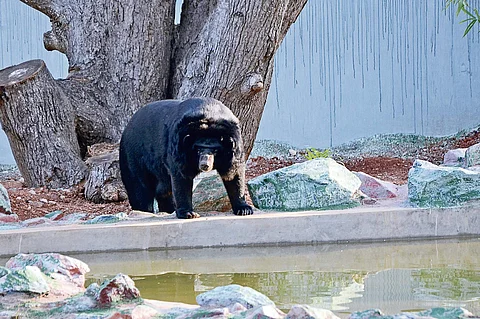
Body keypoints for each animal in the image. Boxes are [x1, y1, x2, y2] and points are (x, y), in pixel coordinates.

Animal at [119, 96, 255, 219]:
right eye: (198, 149)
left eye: (215, 150)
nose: (204, 164)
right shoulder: (179, 145)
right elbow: (181, 177)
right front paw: (188, 213)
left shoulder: (234, 147)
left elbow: (233, 175)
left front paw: (244, 209)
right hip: (135, 157)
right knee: (139, 189)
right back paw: (144, 210)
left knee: (163, 190)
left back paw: (168, 210)